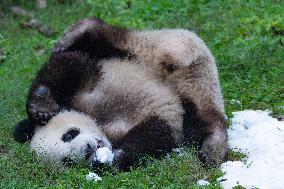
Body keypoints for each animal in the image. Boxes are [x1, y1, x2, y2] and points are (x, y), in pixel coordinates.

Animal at [14, 52, 183, 170]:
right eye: (67, 161)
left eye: (69, 135)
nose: (87, 149)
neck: (101, 125)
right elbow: (154, 135)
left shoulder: (82, 90)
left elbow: (69, 63)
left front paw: (40, 107)